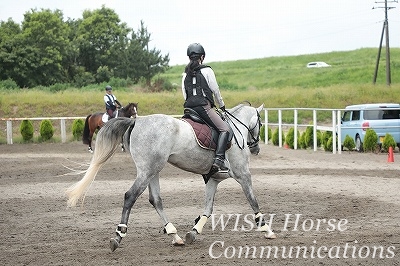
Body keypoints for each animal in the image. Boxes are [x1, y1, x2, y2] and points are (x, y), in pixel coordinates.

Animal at [67, 103, 276, 252]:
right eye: (260, 124)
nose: (256, 148)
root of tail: (136, 122)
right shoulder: (243, 175)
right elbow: (253, 201)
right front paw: (267, 229)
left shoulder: (213, 179)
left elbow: (208, 209)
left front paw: (194, 232)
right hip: (148, 171)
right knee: (130, 196)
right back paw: (118, 236)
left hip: (153, 171)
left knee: (156, 200)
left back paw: (175, 235)